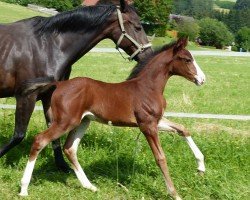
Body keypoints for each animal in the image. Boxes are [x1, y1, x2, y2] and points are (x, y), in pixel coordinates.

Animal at [0, 0, 152, 172]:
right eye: (138, 27)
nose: (149, 55)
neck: (47, 47)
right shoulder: (26, 96)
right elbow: (18, 135)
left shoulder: (48, 96)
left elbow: (54, 133)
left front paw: (62, 165)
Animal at [19, 37, 206, 198]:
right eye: (187, 59)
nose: (202, 79)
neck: (148, 87)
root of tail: (59, 84)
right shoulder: (147, 125)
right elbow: (161, 158)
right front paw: (174, 194)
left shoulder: (155, 121)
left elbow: (183, 129)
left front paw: (201, 167)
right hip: (65, 122)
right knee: (40, 140)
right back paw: (24, 188)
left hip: (83, 121)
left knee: (70, 148)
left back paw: (90, 186)